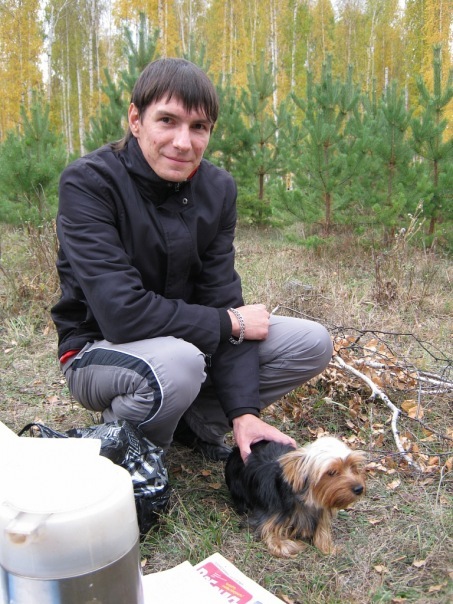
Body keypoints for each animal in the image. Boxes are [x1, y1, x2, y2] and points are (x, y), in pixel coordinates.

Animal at [225, 436, 366, 558]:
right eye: (331, 472)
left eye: (352, 466)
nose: (359, 488)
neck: (303, 500)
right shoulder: (268, 518)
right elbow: (273, 538)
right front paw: (295, 545)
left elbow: (322, 529)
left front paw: (328, 547)